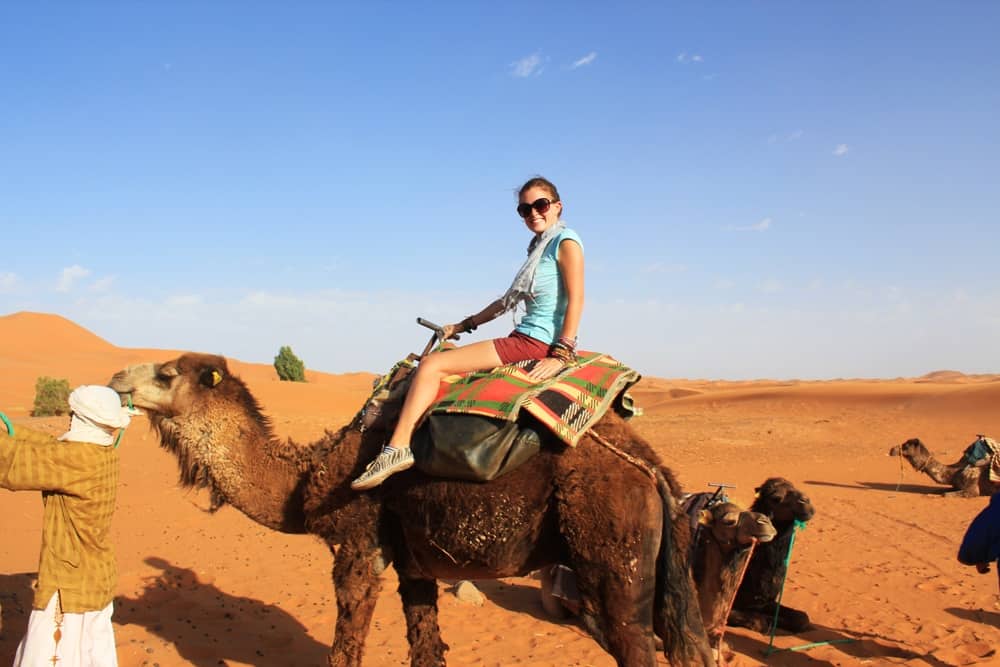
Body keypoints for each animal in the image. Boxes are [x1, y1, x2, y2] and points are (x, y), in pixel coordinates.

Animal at [111, 354, 720, 667]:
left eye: (166, 374)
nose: (116, 377)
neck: (309, 477)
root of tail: (650, 469)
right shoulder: (416, 563)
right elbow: (426, 647)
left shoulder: (358, 548)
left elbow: (346, 648)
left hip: (611, 555)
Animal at [732, 478, 816, 636]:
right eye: (776, 498)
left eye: (793, 487)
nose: (806, 502)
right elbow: (759, 622)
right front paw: (768, 622)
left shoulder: (765, 602)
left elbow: (802, 619)